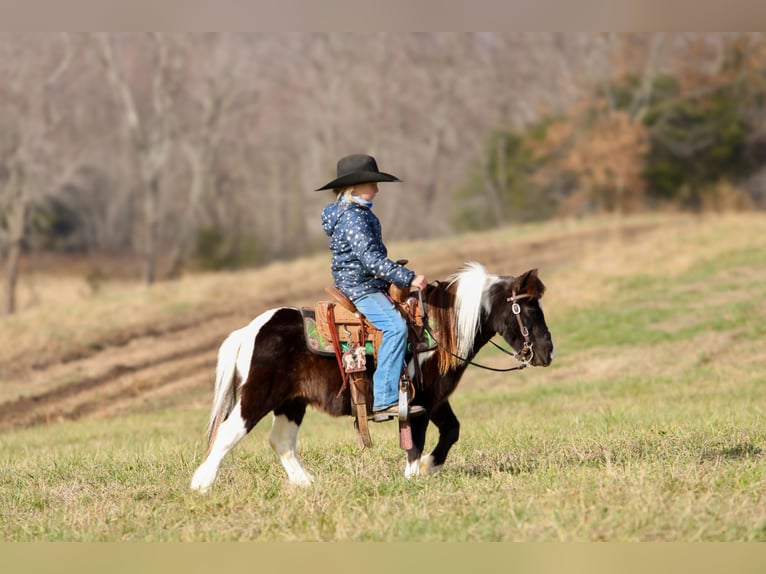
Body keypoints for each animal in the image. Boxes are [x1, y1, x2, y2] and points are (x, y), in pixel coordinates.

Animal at [190, 262, 554, 492]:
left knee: (281, 441)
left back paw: (307, 484)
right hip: (257, 397)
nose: (547, 352)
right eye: (528, 309)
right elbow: (415, 443)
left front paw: (428, 468)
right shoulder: (417, 403)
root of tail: (250, 331)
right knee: (227, 433)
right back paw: (201, 484)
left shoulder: (435, 399)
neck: (438, 330)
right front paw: (413, 476)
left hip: (291, 403)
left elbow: (451, 431)